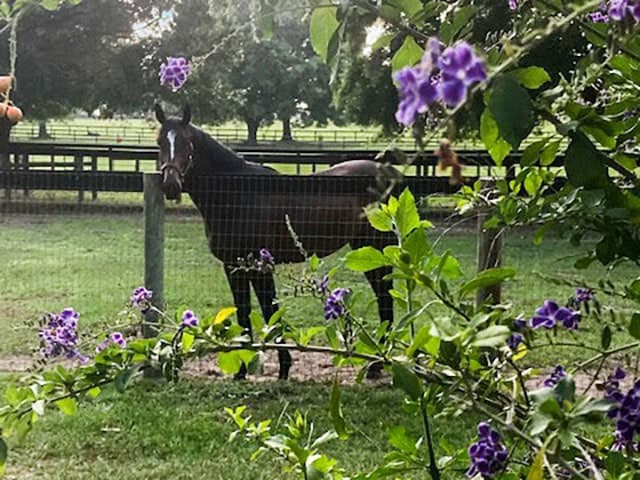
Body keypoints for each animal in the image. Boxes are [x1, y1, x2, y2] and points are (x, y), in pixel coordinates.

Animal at [154, 104, 394, 380]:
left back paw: (378, 364)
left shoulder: (261, 267)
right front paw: (242, 372)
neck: (237, 194)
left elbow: (269, 310)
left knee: (385, 296)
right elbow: (243, 312)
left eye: (188, 143)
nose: (171, 185)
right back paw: (378, 363)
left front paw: (283, 368)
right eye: (160, 141)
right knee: (383, 295)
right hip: (366, 251)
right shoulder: (233, 266)